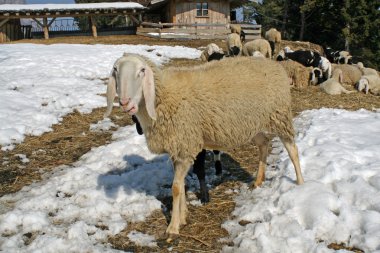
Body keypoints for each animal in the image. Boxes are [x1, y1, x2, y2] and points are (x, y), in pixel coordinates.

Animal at [107, 53, 306, 237]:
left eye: (142, 71)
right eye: (115, 70)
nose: (125, 103)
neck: (162, 97)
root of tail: (274, 64)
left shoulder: (185, 145)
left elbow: (176, 188)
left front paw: (173, 227)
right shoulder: (179, 148)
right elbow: (181, 185)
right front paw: (183, 216)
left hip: (280, 116)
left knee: (293, 150)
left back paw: (300, 183)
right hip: (253, 123)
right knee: (263, 144)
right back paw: (258, 180)